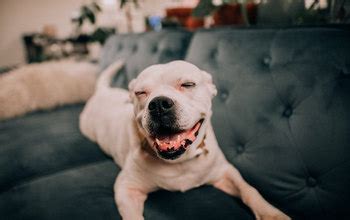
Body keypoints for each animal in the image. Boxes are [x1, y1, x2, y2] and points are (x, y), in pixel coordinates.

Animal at [79, 60, 290, 220]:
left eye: (188, 84)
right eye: (141, 93)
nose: (158, 104)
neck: (180, 162)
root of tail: (101, 91)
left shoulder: (225, 173)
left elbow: (249, 190)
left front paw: (272, 214)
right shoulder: (126, 188)